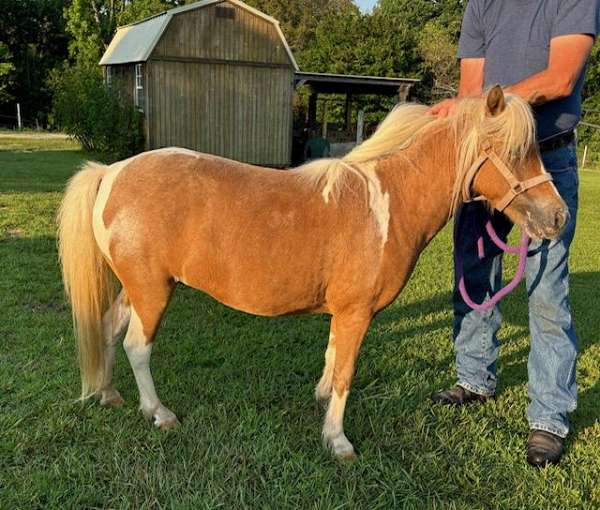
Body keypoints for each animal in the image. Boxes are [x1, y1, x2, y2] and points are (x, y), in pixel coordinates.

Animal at [58, 86, 564, 458]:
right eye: (515, 151)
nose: (558, 217)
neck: (389, 204)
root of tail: (113, 171)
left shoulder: (344, 312)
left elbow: (332, 356)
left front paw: (321, 402)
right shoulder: (358, 312)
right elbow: (346, 372)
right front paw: (338, 440)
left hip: (136, 288)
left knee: (108, 327)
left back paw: (109, 394)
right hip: (152, 290)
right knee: (137, 346)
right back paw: (159, 413)